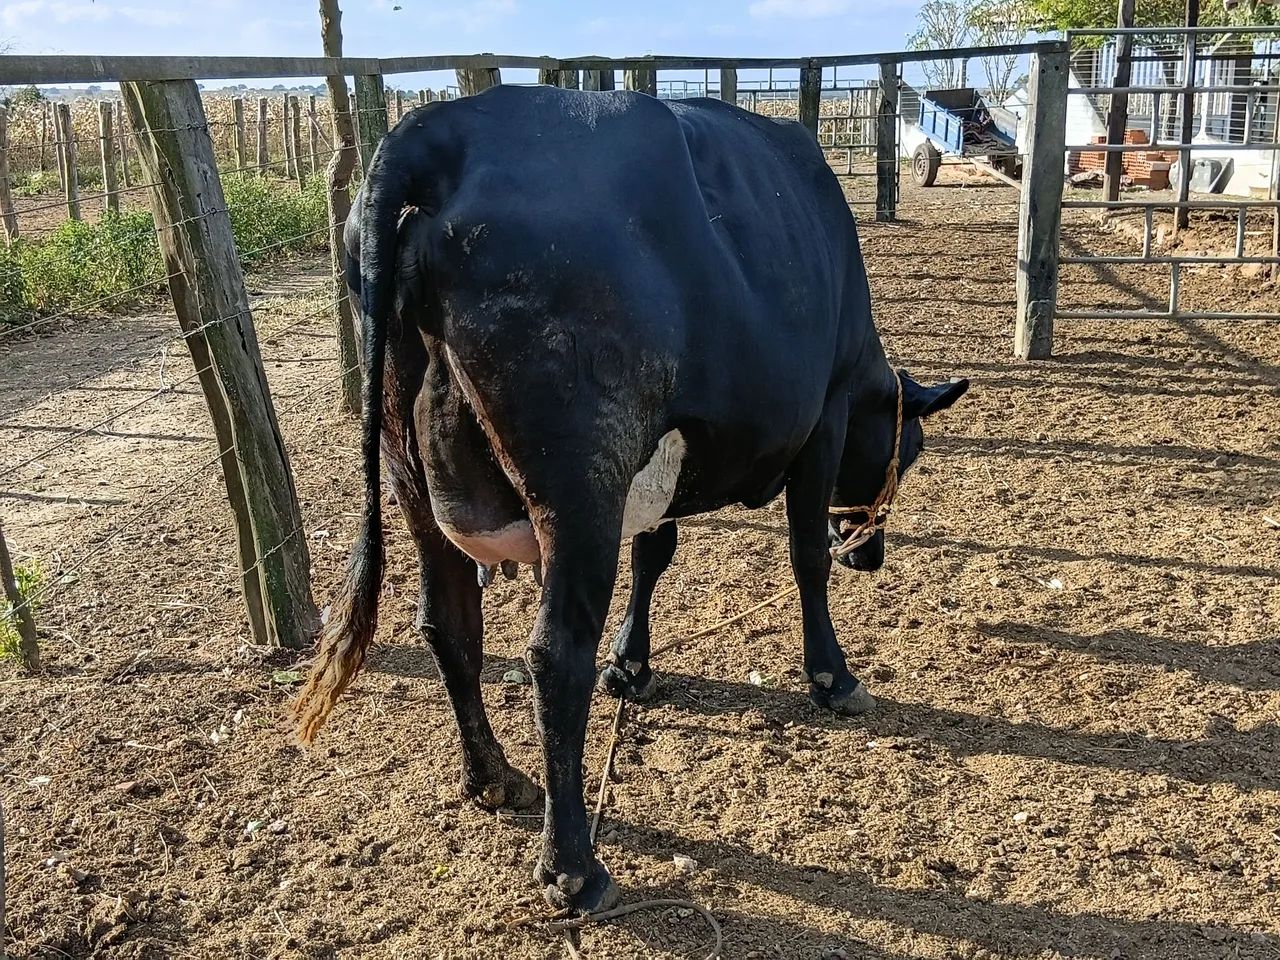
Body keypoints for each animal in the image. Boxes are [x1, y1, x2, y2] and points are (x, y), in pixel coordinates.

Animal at [292, 84, 968, 913]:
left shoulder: (666, 455)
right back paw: (574, 865)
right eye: (911, 449)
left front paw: (632, 665)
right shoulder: (825, 417)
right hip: (580, 481)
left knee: (450, 625)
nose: (869, 556)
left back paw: (494, 779)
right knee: (553, 655)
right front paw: (832, 676)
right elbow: (804, 555)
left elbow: (655, 553)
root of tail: (433, 131)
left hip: (409, 469)